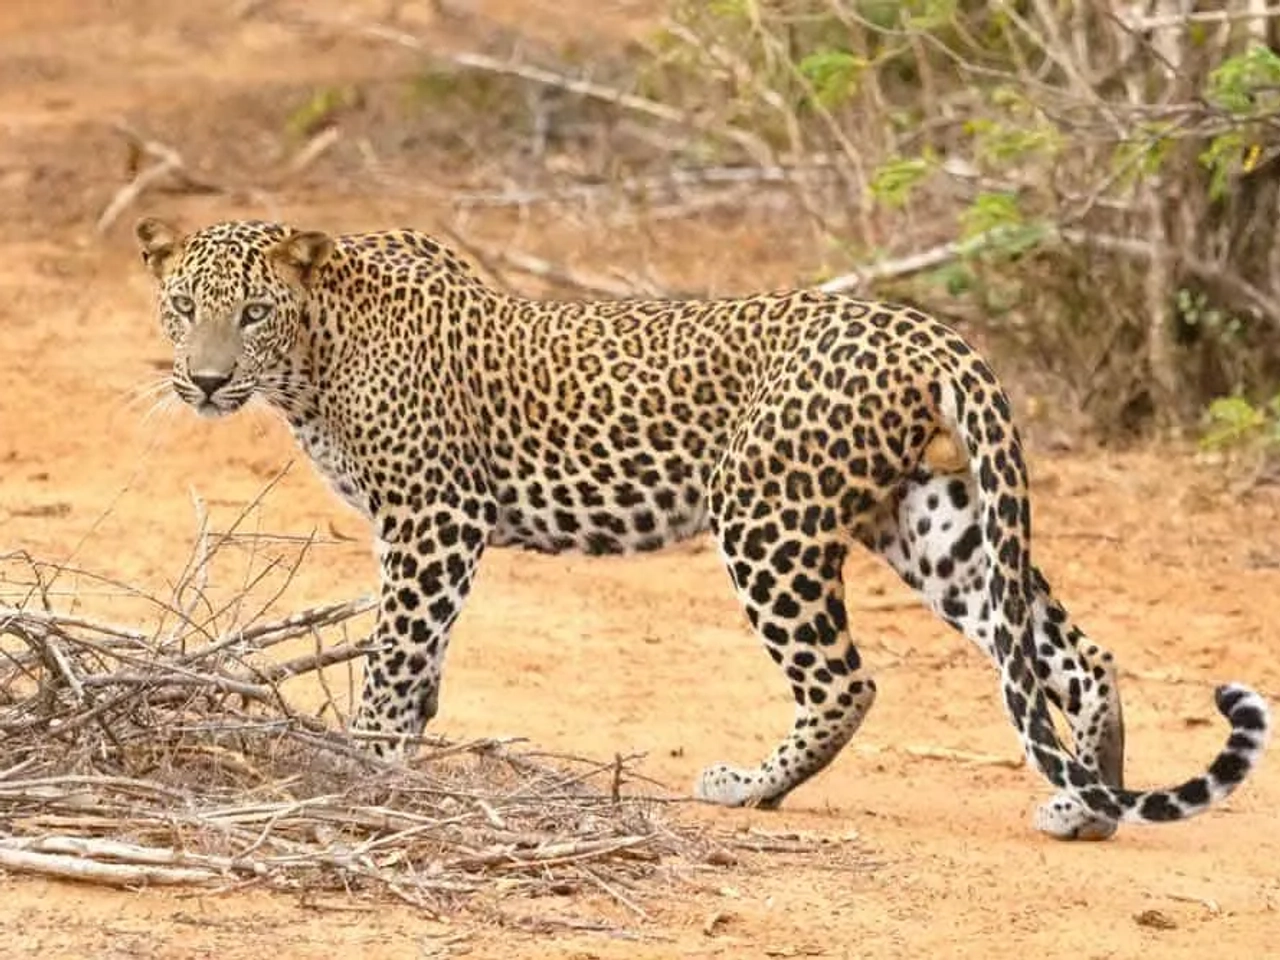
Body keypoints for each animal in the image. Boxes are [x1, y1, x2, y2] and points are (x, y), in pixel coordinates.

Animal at [133, 216, 1271, 840]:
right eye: (182, 307)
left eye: (252, 314)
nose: (205, 380)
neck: (315, 358)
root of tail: (923, 328)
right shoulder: (429, 530)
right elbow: (420, 662)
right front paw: (400, 756)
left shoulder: (434, 517)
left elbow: (394, 654)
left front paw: (364, 765)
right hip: (931, 519)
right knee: (1066, 655)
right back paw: (1088, 802)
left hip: (765, 514)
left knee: (846, 681)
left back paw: (746, 790)